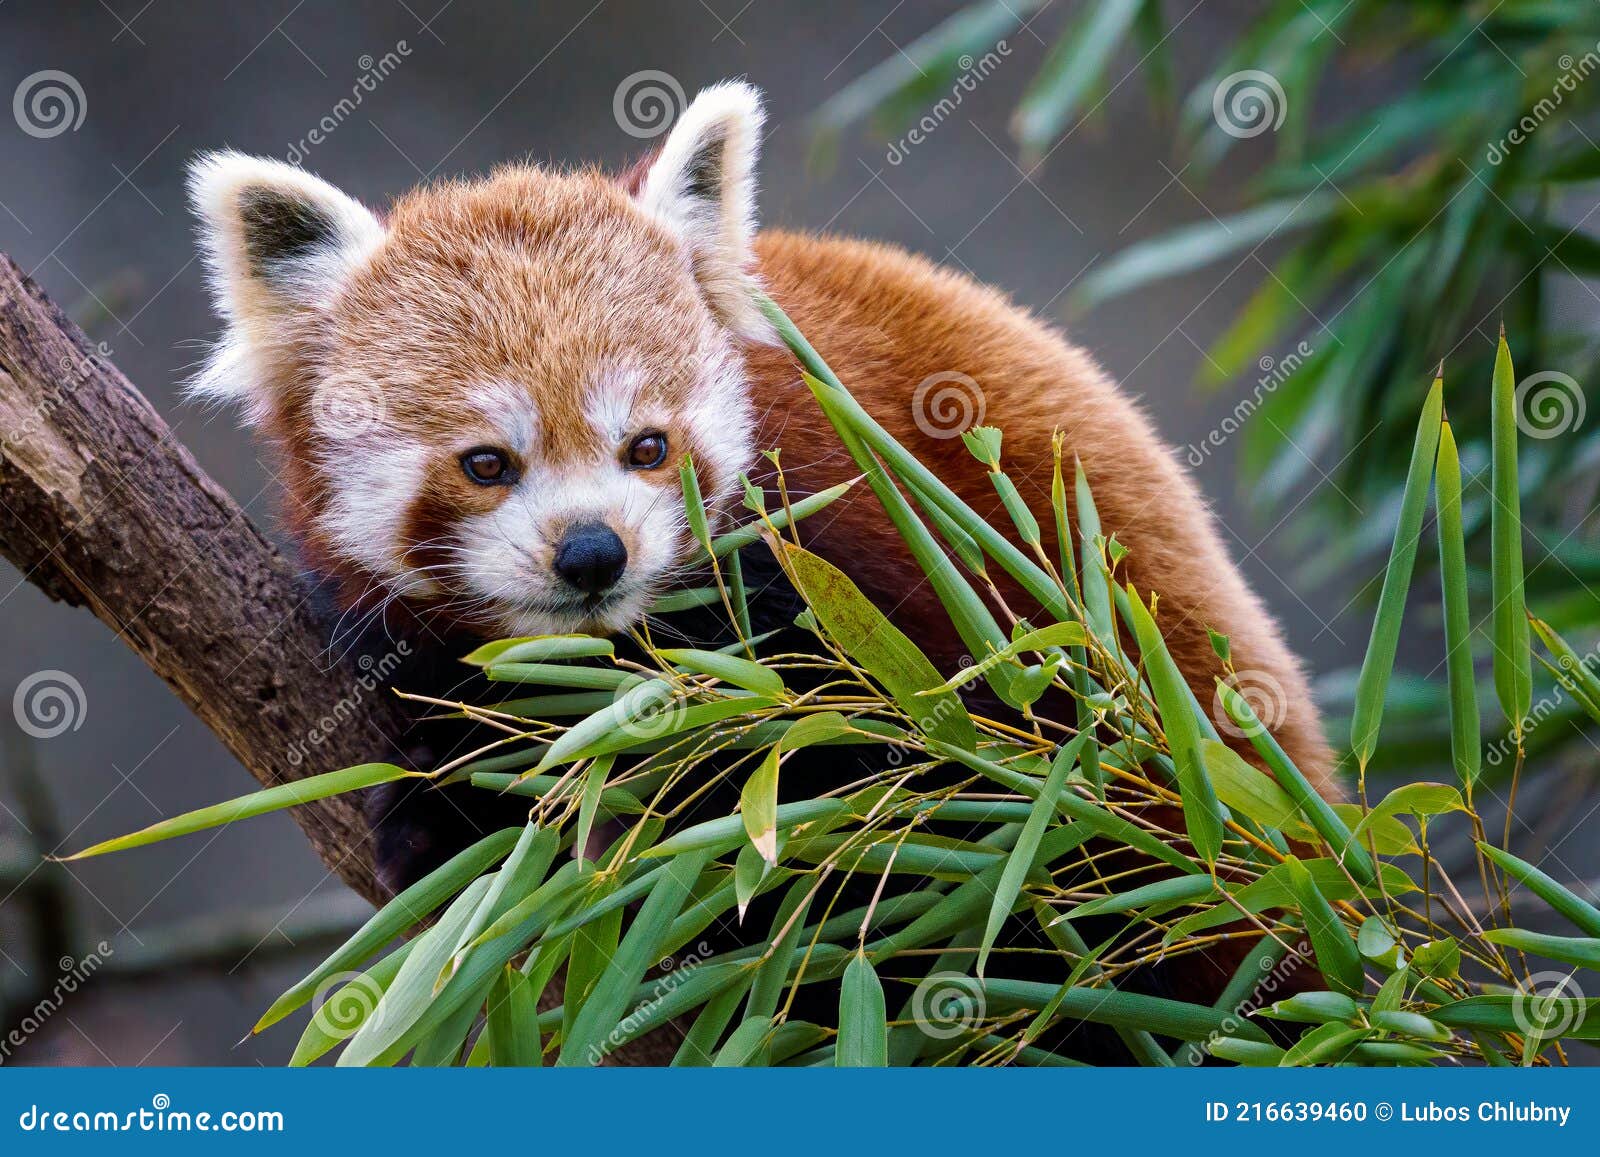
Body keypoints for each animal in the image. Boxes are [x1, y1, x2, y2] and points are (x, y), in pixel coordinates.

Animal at [190, 79, 1337, 915]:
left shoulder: (853, 544)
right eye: (486, 463)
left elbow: (890, 761)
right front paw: (449, 808)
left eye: (648, 445)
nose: (592, 552)